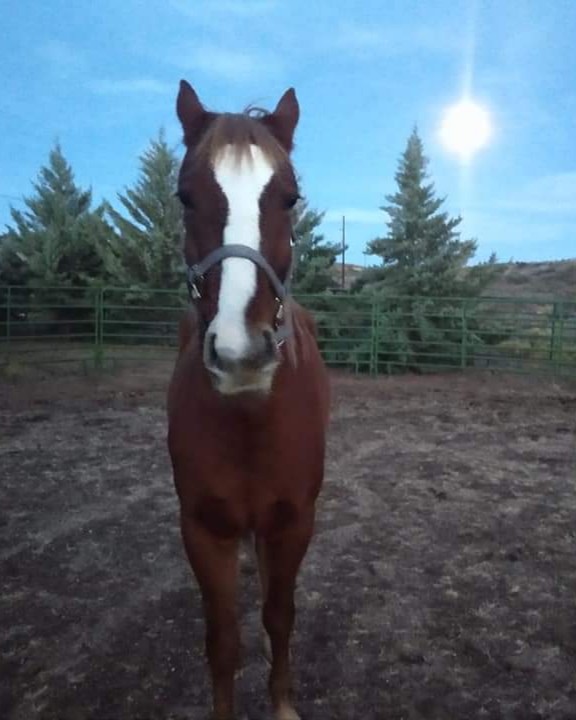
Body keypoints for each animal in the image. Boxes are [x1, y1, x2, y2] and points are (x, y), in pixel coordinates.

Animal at [167, 80, 330, 720]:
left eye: (290, 198)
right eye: (185, 197)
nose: (240, 353)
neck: (249, 422)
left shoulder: (293, 521)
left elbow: (279, 617)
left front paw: (282, 704)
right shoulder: (203, 528)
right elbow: (223, 639)